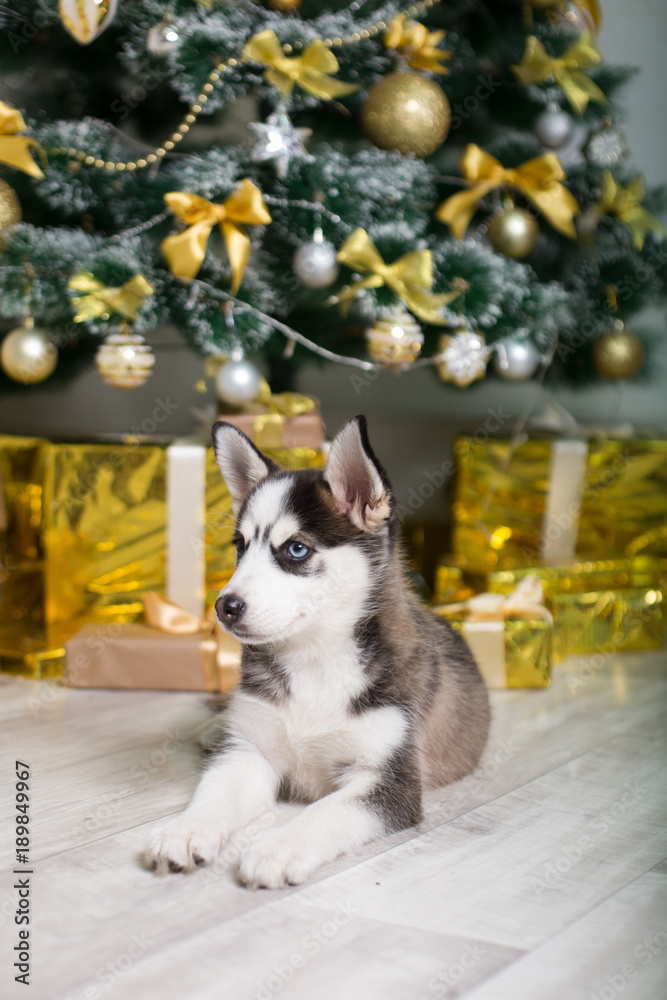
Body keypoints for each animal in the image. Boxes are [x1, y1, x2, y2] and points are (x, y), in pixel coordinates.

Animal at [146, 418, 490, 888]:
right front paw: (184, 830)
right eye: (240, 547)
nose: (224, 607)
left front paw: (276, 847)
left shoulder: (389, 781)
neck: (315, 658)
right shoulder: (249, 753)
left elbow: (326, 811)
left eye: (296, 549)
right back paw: (213, 727)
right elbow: (214, 794)